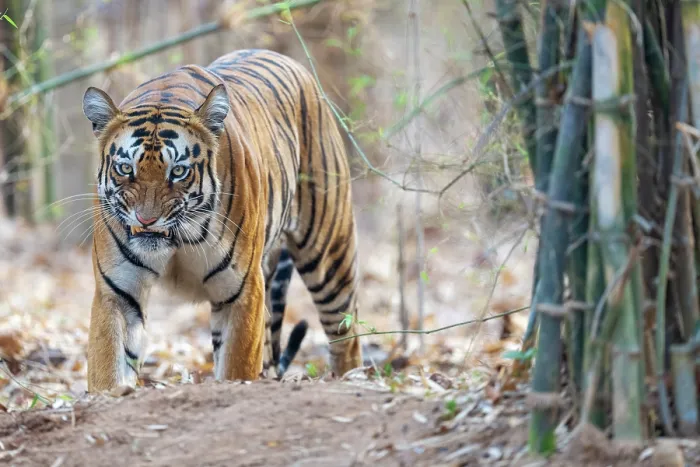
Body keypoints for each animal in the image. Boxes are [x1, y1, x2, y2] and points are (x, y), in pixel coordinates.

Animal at [81, 48, 363, 392]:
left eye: (178, 171)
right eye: (125, 168)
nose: (147, 220)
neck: (177, 240)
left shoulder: (242, 291)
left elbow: (237, 368)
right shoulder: (117, 291)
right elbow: (107, 365)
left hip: (329, 255)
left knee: (345, 334)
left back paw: (353, 378)